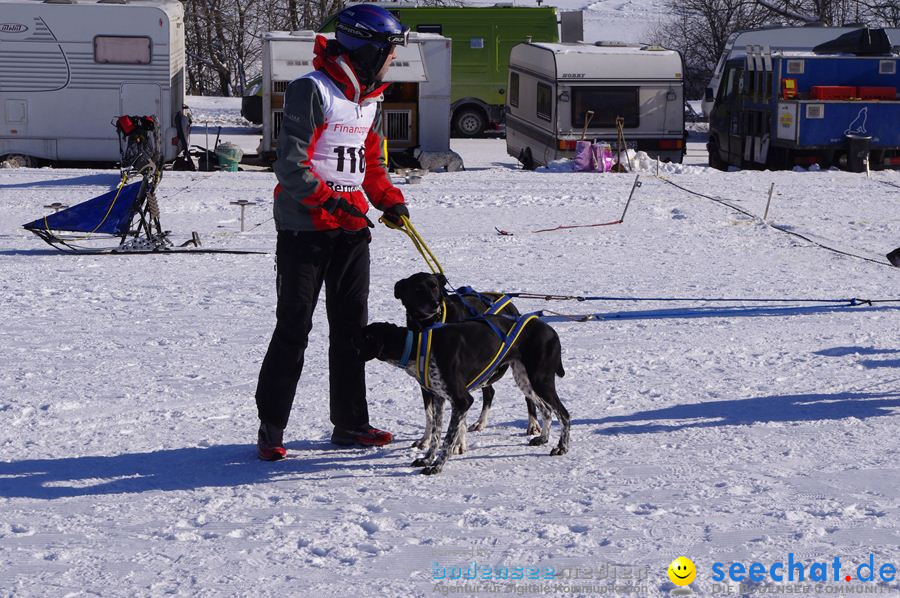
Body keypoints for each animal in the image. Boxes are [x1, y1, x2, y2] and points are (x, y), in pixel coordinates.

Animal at [354, 316, 568, 476]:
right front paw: (427, 459)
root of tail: (551, 331)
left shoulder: (462, 400)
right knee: (547, 410)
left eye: (363, 338)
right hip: (525, 381)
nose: (349, 347)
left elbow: (449, 439)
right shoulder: (439, 398)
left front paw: (436, 466)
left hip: (540, 380)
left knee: (564, 414)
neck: (417, 347)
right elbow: (435, 434)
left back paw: (562, 448)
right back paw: (543, 438)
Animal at [392, 272, 536, 450]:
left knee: (528, 395)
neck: (431, 327)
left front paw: (459, 443)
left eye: (434, 286)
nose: (434, 304)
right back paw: (481, 422)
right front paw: (426, 439)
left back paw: (532, 424)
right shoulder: (425, 383)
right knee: (489, 392)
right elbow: (429, 414)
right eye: (417, 289)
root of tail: (510, 304)